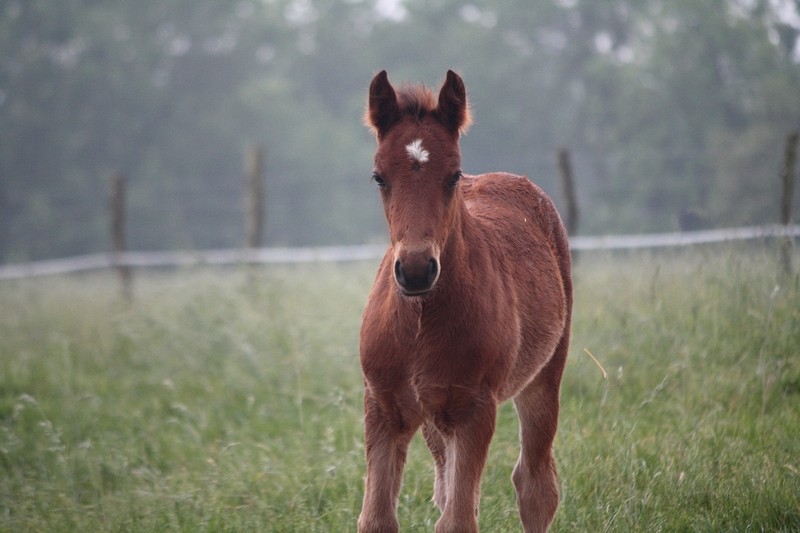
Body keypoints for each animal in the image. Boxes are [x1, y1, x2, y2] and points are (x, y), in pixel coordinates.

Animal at [360, 70, 572, 532]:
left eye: (453, 175)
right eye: (378, 177)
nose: (416, 270)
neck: (421, 321)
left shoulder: (475, 409)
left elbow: (459, 520)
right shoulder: (382, 407)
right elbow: (378, 519)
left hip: (544, 373)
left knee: (536, 485)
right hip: (433, 412)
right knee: (446, 486)